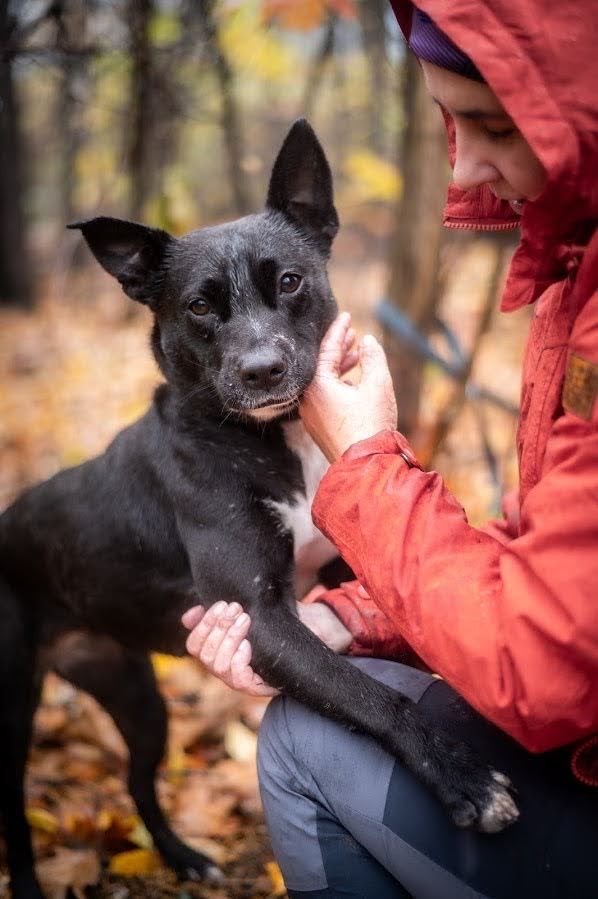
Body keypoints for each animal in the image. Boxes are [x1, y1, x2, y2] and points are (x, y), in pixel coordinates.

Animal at [0, 121, 516, 899]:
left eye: (290, 282)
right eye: (199, 306)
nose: (263, 370)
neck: (275, 442)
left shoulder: (334, 576)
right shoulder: (260, 618)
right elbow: (368, 695)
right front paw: (464, 778)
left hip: (135, 691)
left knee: (139, 780)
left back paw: (185, 857)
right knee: (11, 813)